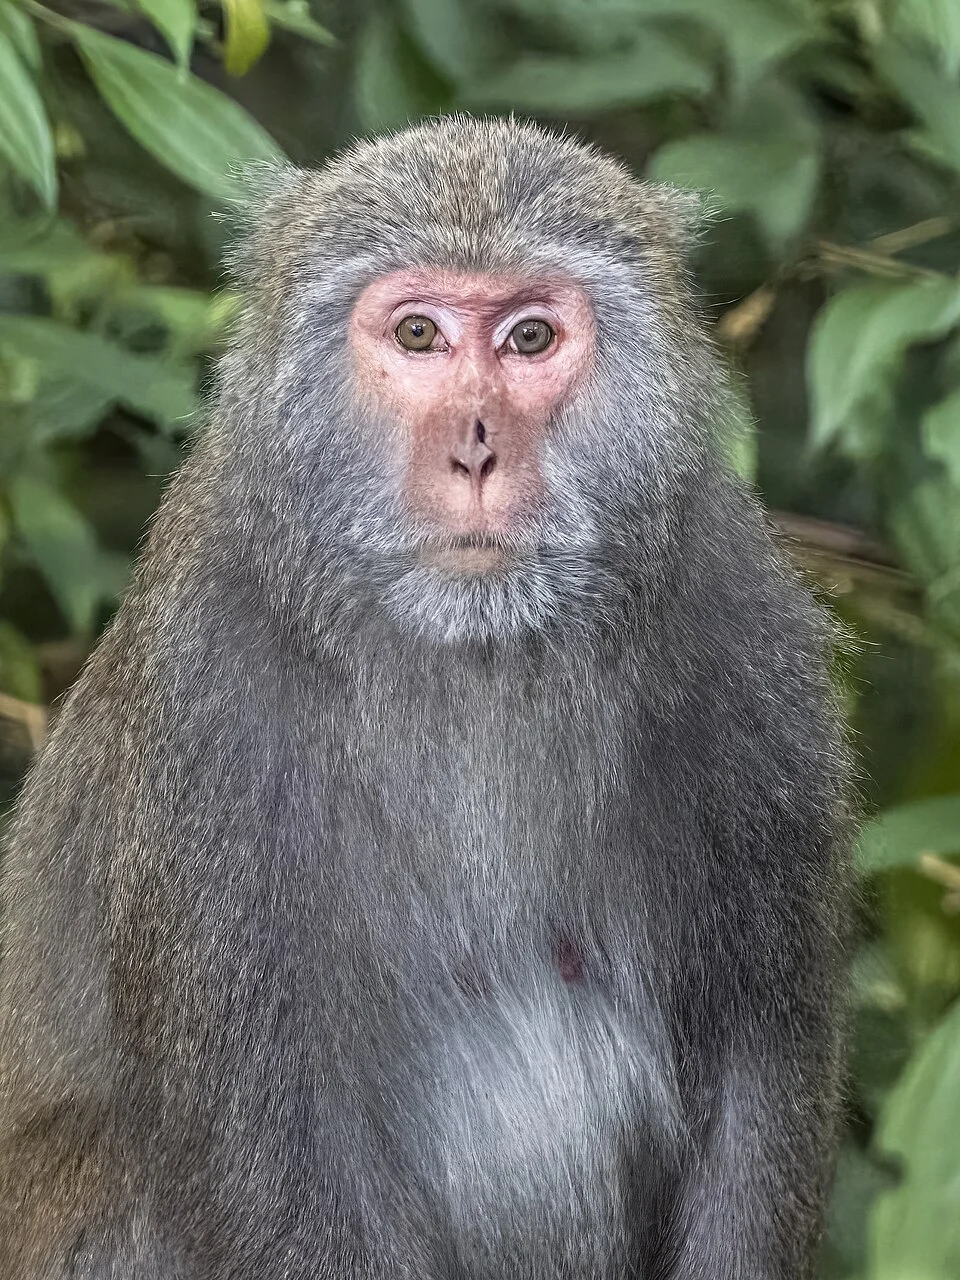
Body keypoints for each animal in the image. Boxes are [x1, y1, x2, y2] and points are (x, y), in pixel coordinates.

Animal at [0, 115, 851, 1279]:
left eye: (530, 338)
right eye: (417, 333)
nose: (476, 447)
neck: (469, 651)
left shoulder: (743, 632)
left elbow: (759, 1067)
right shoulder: (205, 702)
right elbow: (280, 1154)